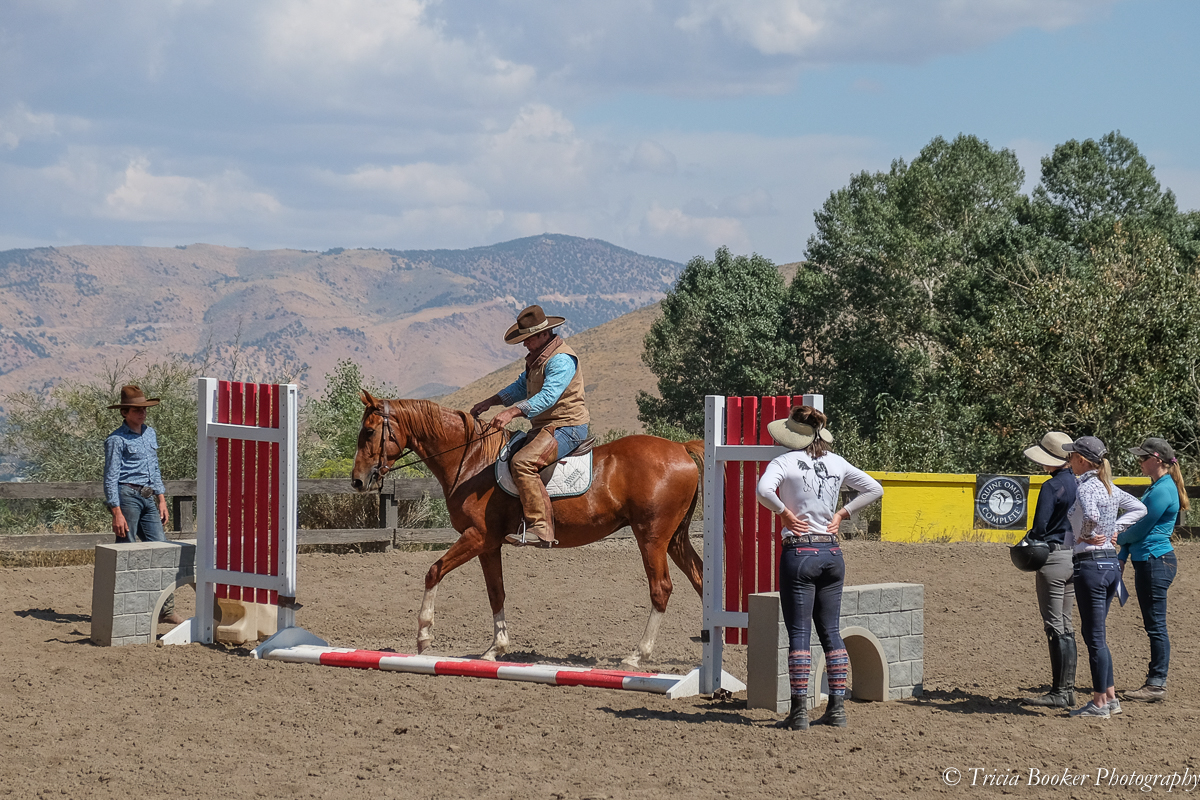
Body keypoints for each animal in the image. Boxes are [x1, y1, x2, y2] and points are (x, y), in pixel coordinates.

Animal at [350, 391, 705, 668]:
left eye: (369, 431)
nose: (357, 481)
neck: (473, 460)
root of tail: (680, 448)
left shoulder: (476, 536)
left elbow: (434, 571)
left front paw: (424, 635)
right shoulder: (489, 544)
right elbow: (496, 592)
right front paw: (496, 648)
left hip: (652, 538)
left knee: (661, 588)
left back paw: (637, 654)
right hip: (675, 540)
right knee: (700, 579)